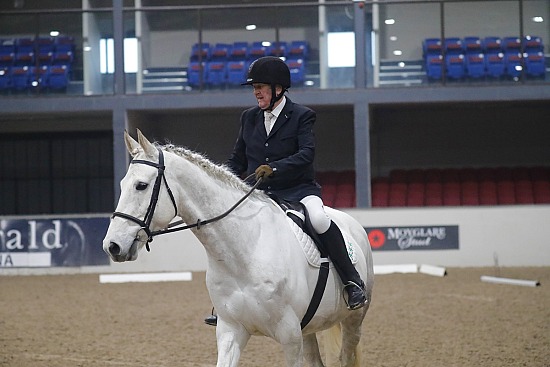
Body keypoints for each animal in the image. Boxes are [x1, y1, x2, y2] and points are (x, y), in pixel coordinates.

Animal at [102, 130, 376, 367]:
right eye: (122, 184)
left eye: (141, 185)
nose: (112, 246)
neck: (243, 254)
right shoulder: (230, 330)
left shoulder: (289, 336)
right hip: (308, 330)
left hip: (354, 320)